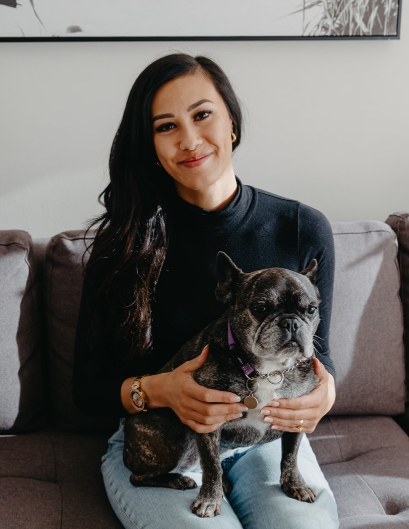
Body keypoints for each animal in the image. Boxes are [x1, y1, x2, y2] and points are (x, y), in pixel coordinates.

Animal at [123, 251, 321, 518]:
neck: (269, 370)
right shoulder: (208, 420)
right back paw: (178, 479)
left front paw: (295, 484)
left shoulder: (296, 416)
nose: (291, 322)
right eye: (260, 308)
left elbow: (290, 457)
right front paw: (209, 499)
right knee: (138, 477)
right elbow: (211, 465)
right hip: (173, 437)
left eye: (311, 309)